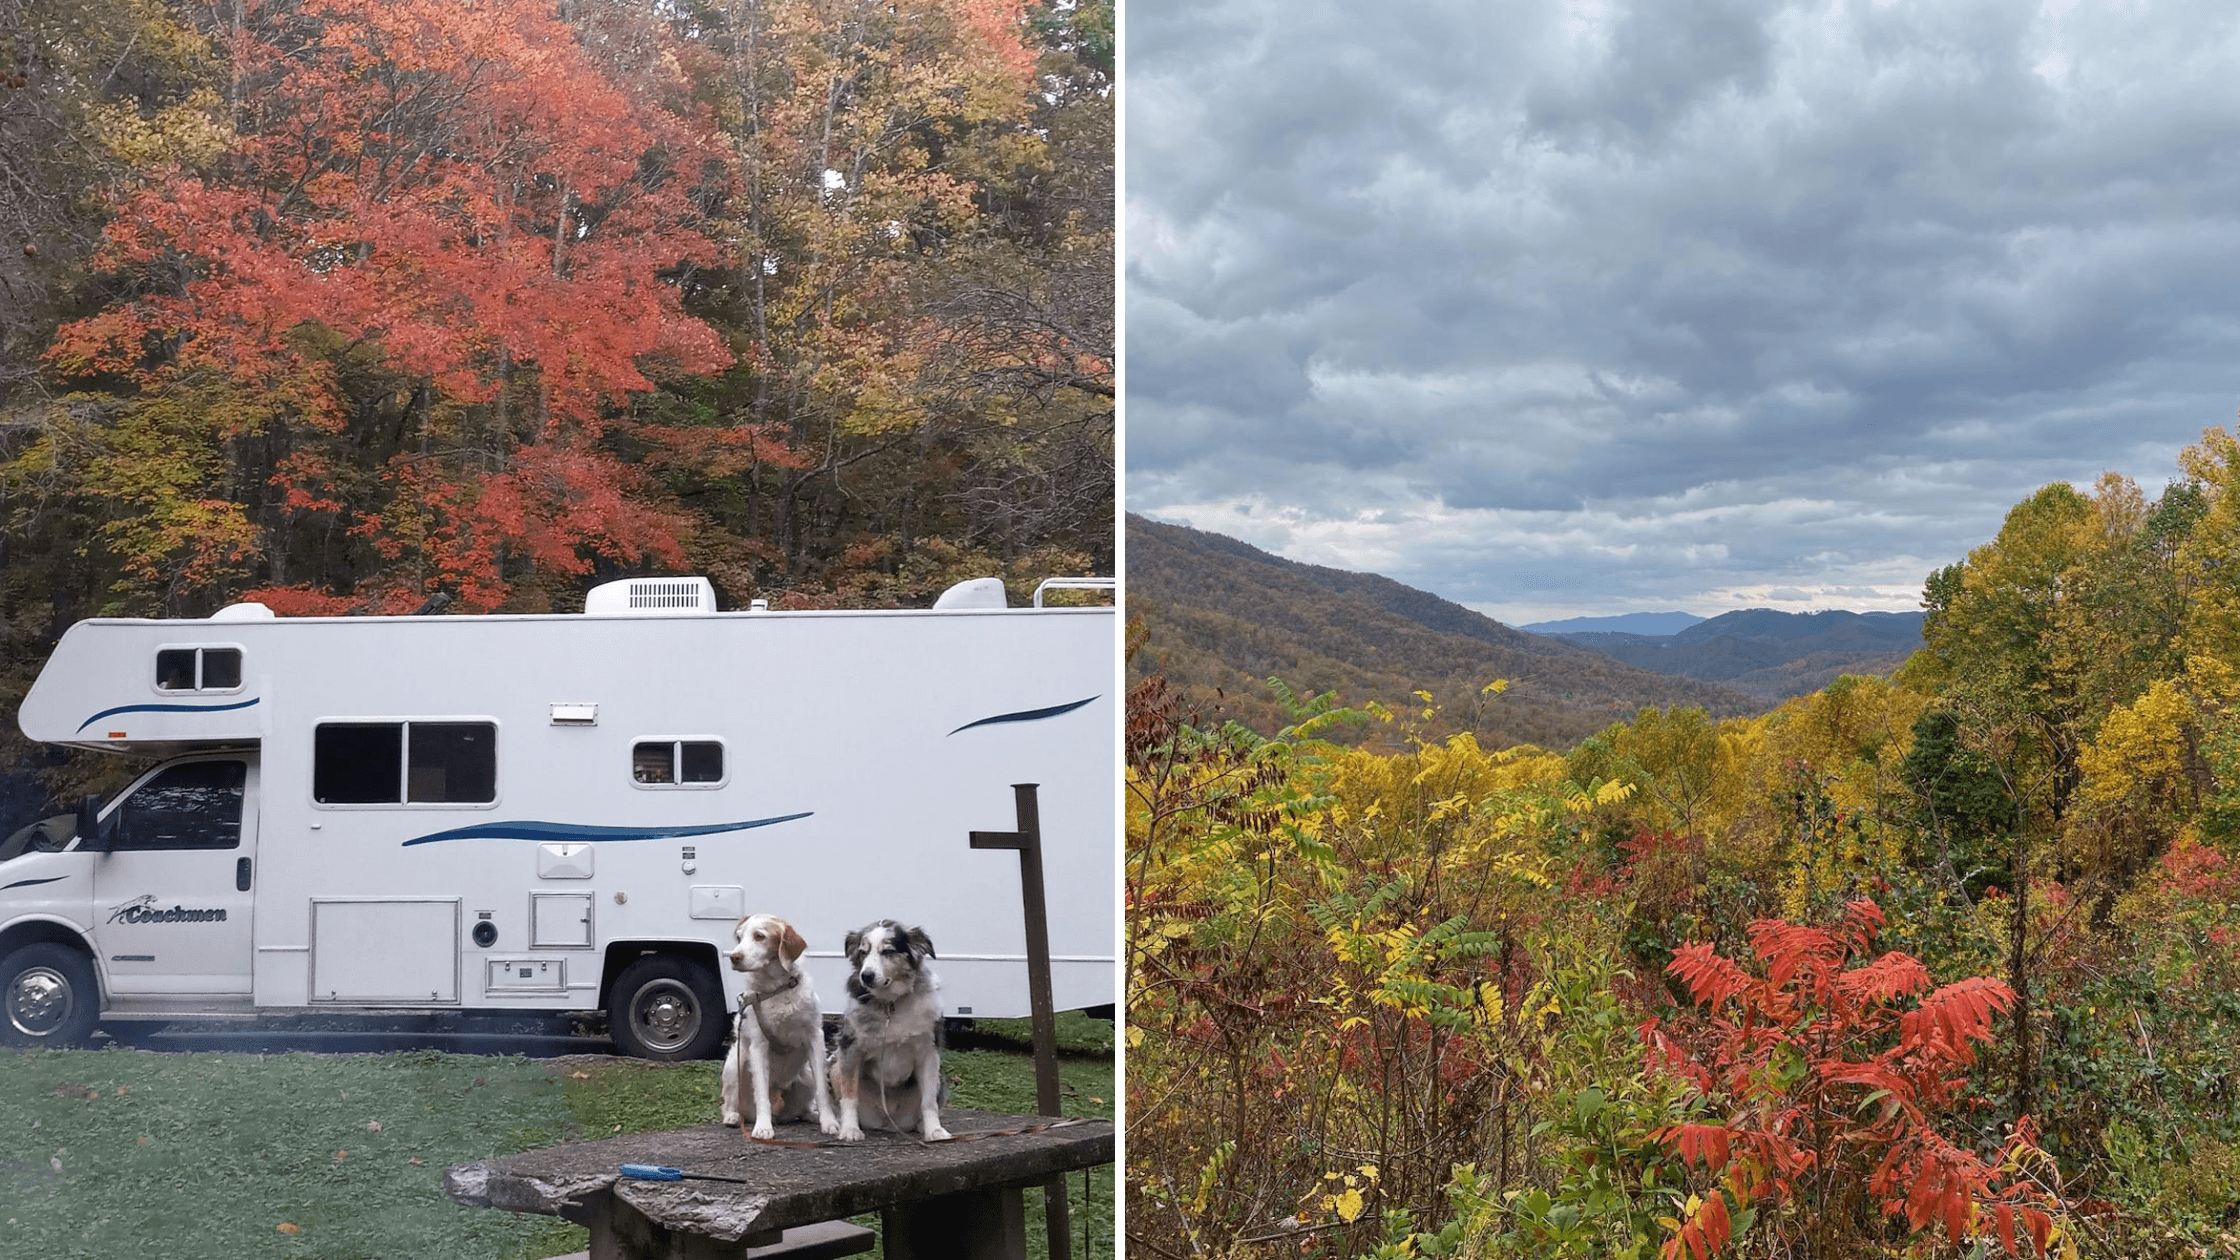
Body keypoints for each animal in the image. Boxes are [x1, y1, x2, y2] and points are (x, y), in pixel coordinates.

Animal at [721, 910, 837, 1138]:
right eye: (739, 937)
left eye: (759, 936)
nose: (734, 957)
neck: (777, 988)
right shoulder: (758, 1045)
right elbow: (761, 1094)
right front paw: (763, 1127)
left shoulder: (815, 1038)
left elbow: (822, 1090)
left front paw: (829, 1122)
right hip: (733, 1066)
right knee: (729, 1103)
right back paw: (732, 1117)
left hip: (806, 1076)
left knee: (803, 1109)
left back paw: (813, 1115)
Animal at [833, 910, 954, 1138]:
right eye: (863, 953)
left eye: (888, 951)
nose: (866, 976)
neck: (891, 1004)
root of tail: (888, 1122)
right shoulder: (850, 1047)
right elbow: (849, 1095)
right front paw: (850, 1129)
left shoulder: (929, 1052)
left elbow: (929, 1101)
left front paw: (934, 1130)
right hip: (835, 1066)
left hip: (939, 1077)